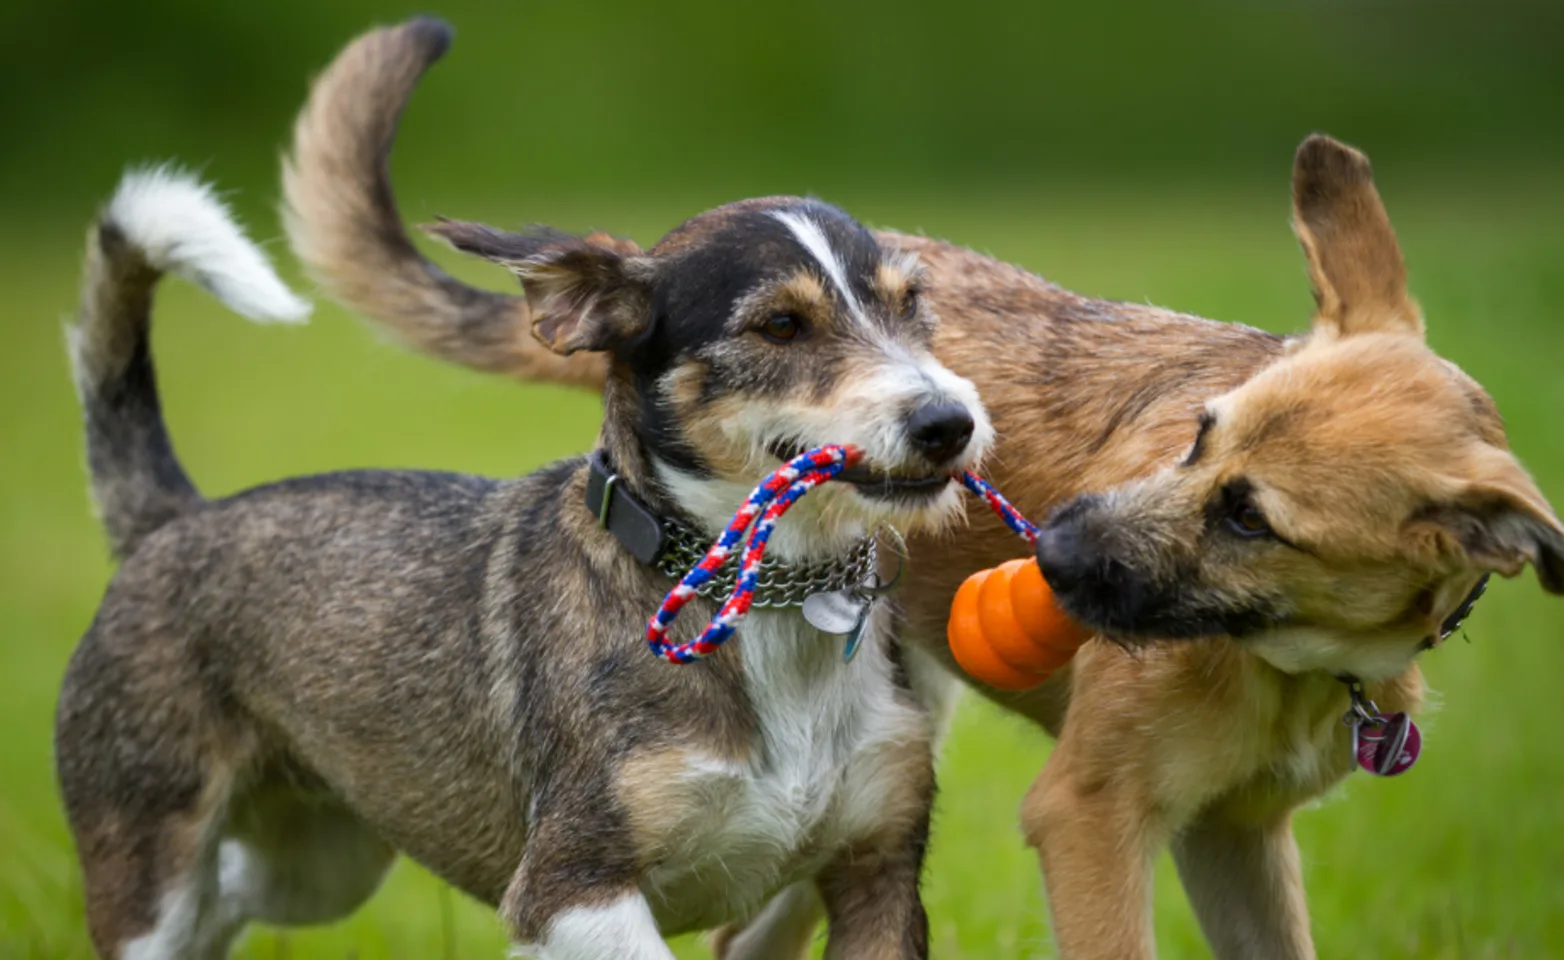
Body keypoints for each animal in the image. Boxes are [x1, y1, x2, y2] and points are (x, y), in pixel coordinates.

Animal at [57, 22, 1000, 960]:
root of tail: (174, 519)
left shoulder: (879, 874)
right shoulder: (567, 890)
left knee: (234, 896)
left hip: (320, 862)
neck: (767, 599)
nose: (950, 422)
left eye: (913, 307)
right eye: (780, 325)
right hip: (154, 862)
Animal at [284, 16, 1564, 960]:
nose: (1051, 552)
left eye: (1253, 518)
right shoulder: (1090, 818)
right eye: (1196, 436)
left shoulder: (1237, 840)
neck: (1293, 661)